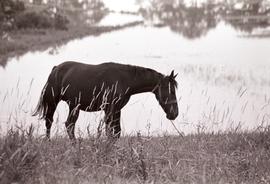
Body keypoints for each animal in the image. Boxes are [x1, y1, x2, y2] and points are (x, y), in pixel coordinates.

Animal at [32, 61, 179, 139]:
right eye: (171, 91)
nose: (174, 114)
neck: (124, 80)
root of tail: (56, 68)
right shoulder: (110, 109)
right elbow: (109, 131)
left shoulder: (116, 109)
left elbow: (116, 131)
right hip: (53, 102)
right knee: (50, 122)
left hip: (74, 106)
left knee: (69, 125)